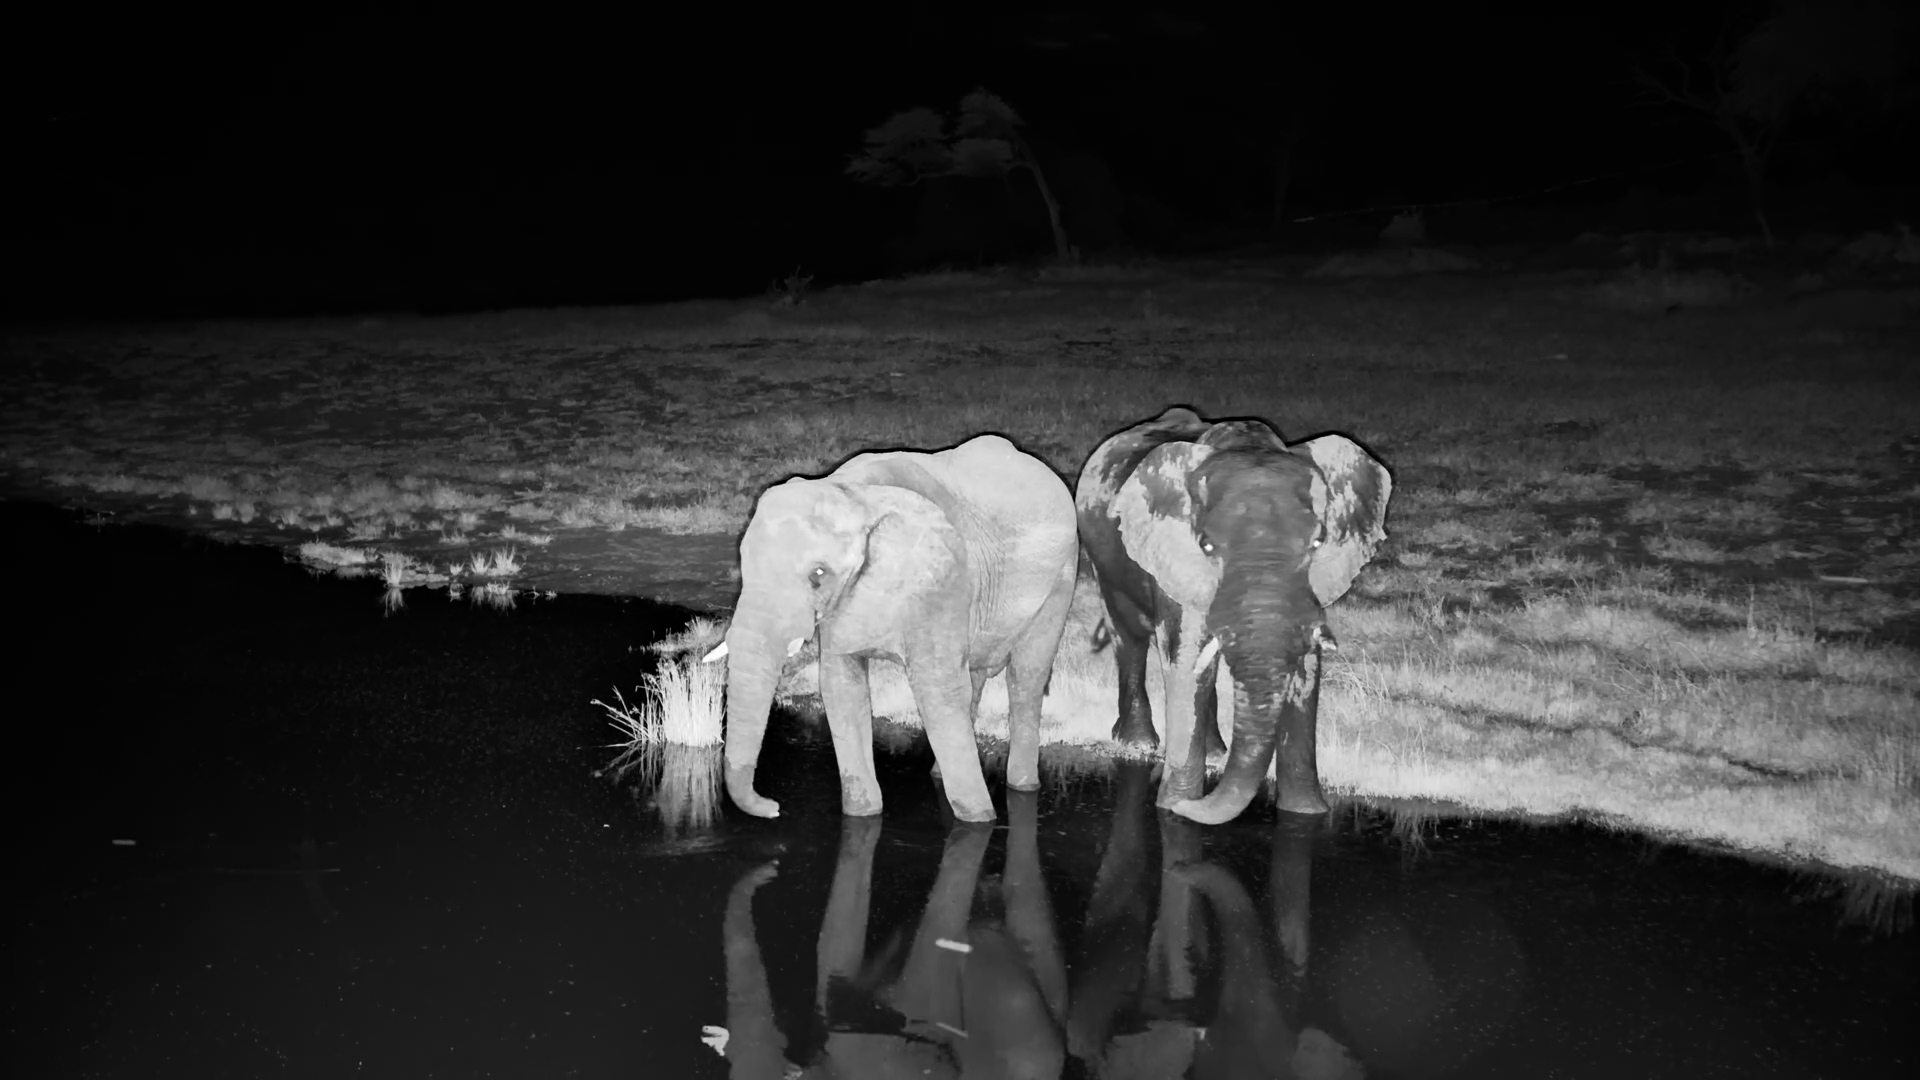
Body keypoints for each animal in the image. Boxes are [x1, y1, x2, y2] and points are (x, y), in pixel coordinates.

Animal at [706, 433, 1079, 823]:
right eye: (744, 563)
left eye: (818, 575)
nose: (775, 807)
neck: (854, 494)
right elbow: (841, 688)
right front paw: (863, 815)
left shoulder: (938, 580)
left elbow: (938, 693)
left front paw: (980, 820)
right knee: (974, 679)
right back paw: (939, 775)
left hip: (1061, 577)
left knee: (1025, 679)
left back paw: (1023, 786)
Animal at [1076, 406, 1392, 823]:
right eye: (1207, 546)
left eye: (1318, 543)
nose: (1185, 803)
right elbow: (1186, 661)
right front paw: (1175, 805)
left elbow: (1306, 671)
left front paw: (1306, 812)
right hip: (1104, 557)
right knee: (1128, 636)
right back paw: (1139, 745)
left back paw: (1213, 753)